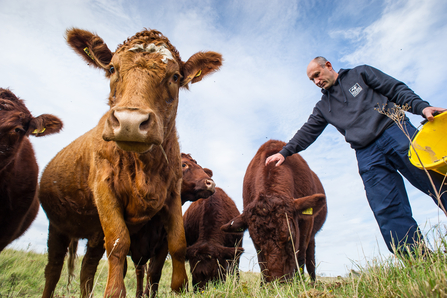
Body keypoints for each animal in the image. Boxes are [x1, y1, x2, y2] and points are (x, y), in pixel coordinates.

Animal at [38, 28, 222, 298]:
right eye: (112, 68)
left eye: (175, 76)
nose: (130, 122)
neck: (145, 170)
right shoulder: (104, 190)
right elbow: (118, 244)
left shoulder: (171, 195)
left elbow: (177, 246)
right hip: (58, 226)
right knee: (53, 269)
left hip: (92, 234)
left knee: (87, 269)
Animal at [222, 140, 328, 282]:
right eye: (255, 241)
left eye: (290, 236)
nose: (277, 281)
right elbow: (262, 264)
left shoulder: (306, 225)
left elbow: (300, 257)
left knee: (310, 259)